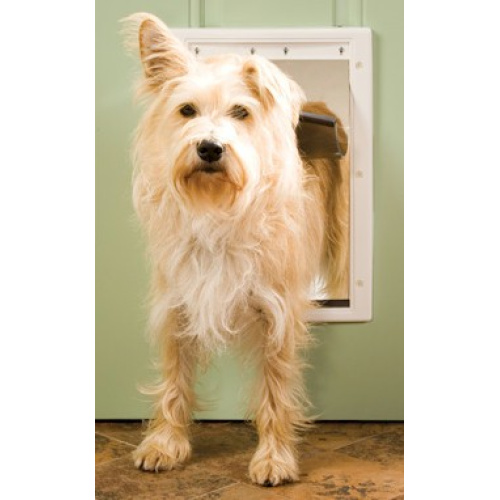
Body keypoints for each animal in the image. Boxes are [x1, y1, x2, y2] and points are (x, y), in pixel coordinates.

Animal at [123, 13, 348, 487]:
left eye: (241, 112)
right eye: (186, 110)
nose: (209, 148)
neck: (217, 207)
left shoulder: (278, 312)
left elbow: (276, 388)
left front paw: (274, 457)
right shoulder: (178, 303)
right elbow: (174, 376)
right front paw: (165, 443)